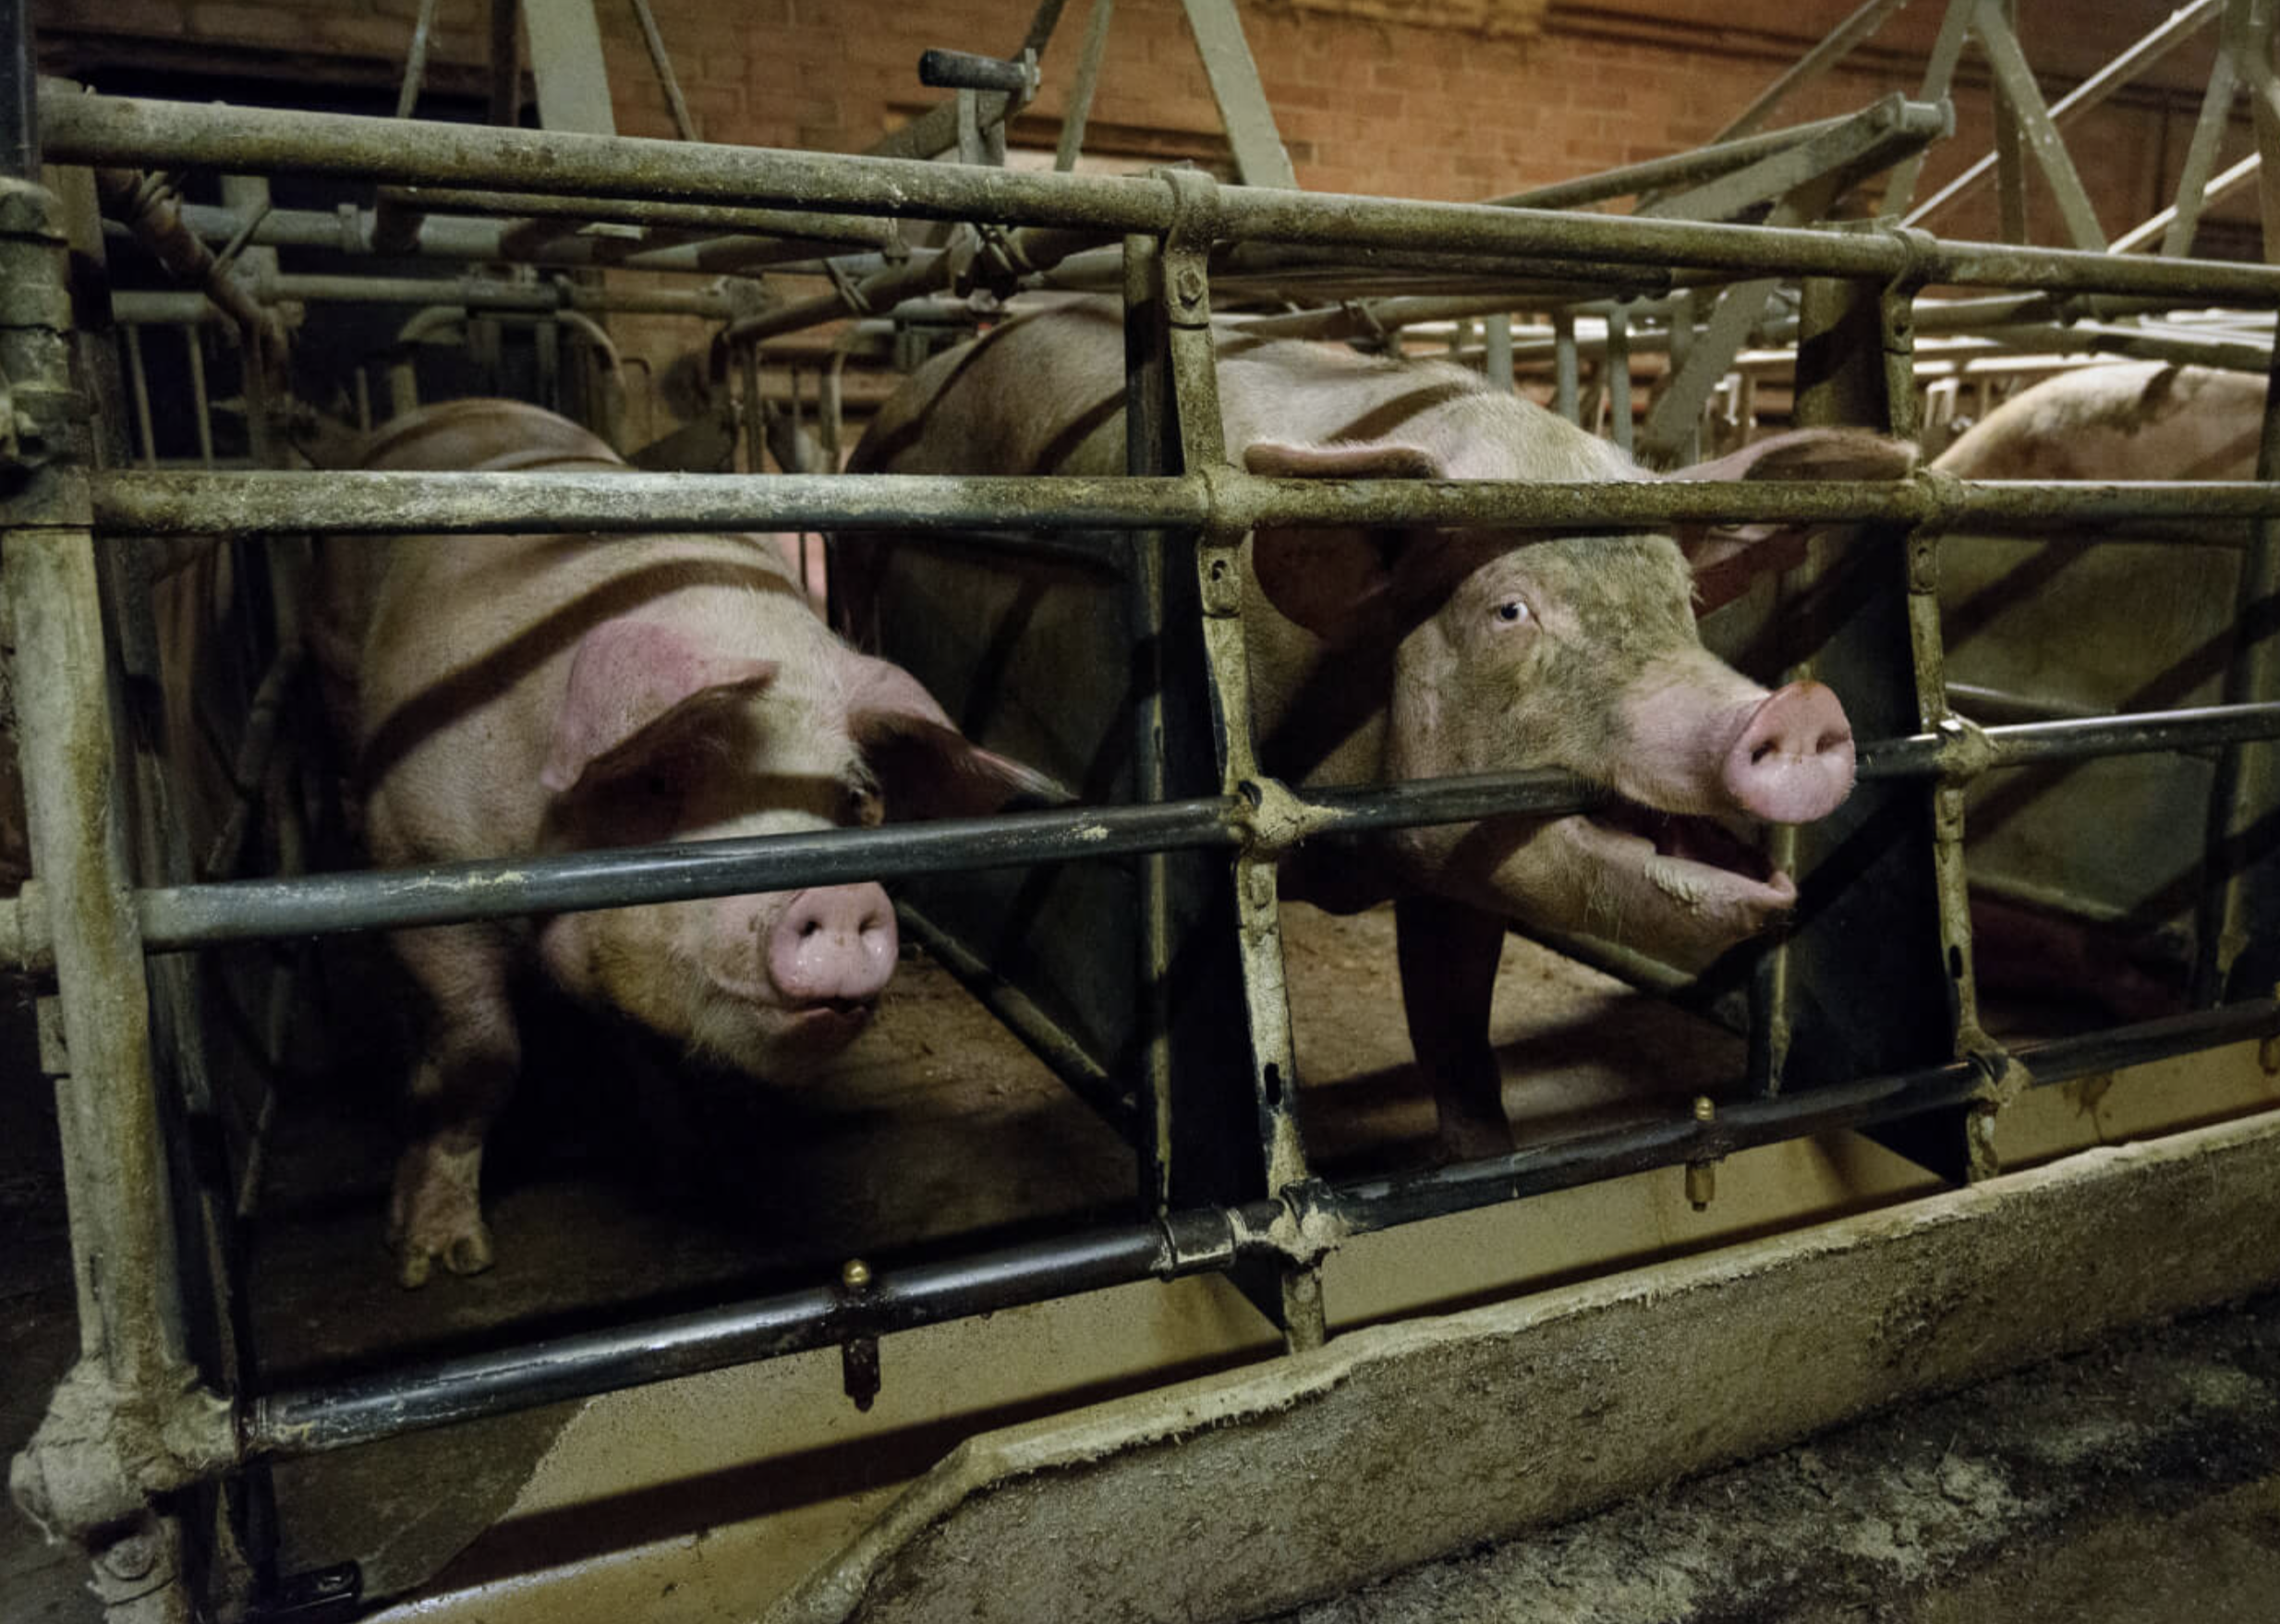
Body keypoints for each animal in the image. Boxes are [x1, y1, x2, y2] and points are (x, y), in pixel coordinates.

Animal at [332, 398, 1052, 1285]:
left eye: (851, 797)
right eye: (660, 780)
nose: (839, 895)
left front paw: (696, 1172)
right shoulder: (415, 859)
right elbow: (480, 1054)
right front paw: (439, 1262)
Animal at [850, 298, 1916, 1159]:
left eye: (1682, 598)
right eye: (1508, 611)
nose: (1795, 709)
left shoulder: (1461, 862)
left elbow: (1454, 1025)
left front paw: (1486, 1162)